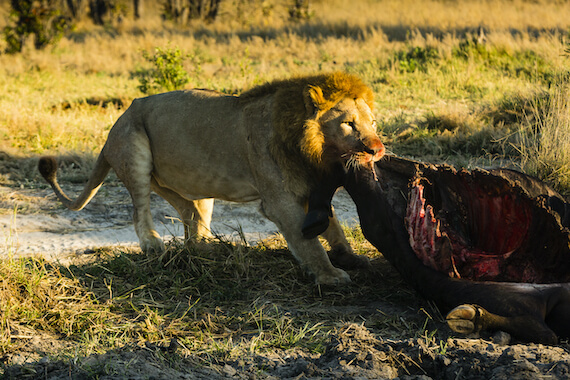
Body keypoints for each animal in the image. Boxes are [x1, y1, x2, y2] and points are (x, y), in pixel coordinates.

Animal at [36, 72, 382, 284]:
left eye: (374, 122)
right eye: (349, 123)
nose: (377, 149)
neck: (312, 149)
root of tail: (112, 130)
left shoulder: (309, 188)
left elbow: (334, 226)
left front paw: (350, 256)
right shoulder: (281, 201)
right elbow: (309, 242)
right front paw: (329, 275)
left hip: (189, 187)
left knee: (190, 216)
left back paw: (207, 250)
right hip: (135, 152)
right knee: (140, 209)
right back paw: (152, 244)